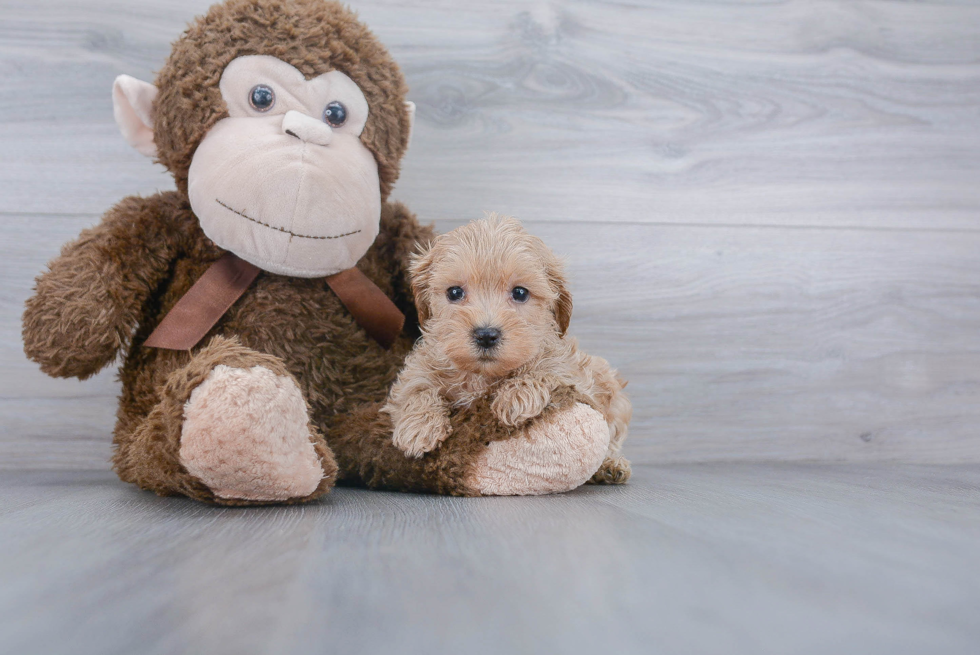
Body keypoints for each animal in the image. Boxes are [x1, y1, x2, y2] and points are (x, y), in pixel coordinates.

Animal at [378, 215, 632, 482]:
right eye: (455, 292)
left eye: (520, 293)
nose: (486, 335)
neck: (482, 376)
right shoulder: (416, 372)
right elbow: (416, 389)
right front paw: (418, 425)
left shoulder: (576, 375)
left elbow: (548, 370)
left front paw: (517, 395)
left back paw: (610, 465)